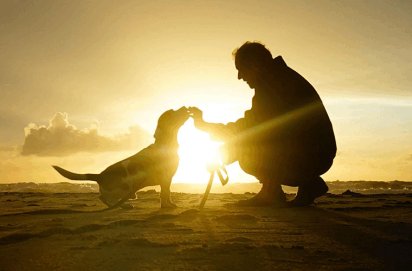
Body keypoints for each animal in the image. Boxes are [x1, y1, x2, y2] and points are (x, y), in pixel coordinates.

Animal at [52, 107, 192, 209]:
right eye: (172, 112)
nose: (185, 107)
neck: (165, 144)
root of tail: (99, 175)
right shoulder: (166, 178)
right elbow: (165, 194)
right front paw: (167, 206)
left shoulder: (167, 180)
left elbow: (167, 193)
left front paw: (169, 204)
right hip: (122, 189)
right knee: (103, 198)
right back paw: (122, 205)